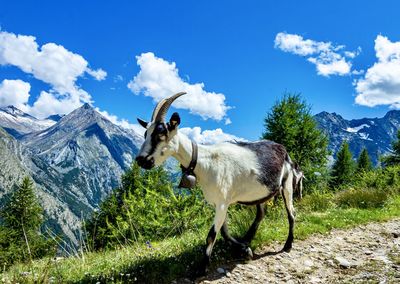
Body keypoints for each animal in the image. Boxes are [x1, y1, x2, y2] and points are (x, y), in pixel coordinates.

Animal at [136, 92, 296, 276]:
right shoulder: (219, 203)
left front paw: (202, 268)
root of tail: (283, 149)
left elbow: (211, 235)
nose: (141, 160)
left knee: (291, 213)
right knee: (261, 213)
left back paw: (287, 245)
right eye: (145, 134)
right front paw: (244, 250)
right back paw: (247, 239)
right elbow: (224, 232)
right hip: (259, 193)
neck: (205, 162)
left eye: (161, 134)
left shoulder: (222, 202)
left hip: (287, 184)